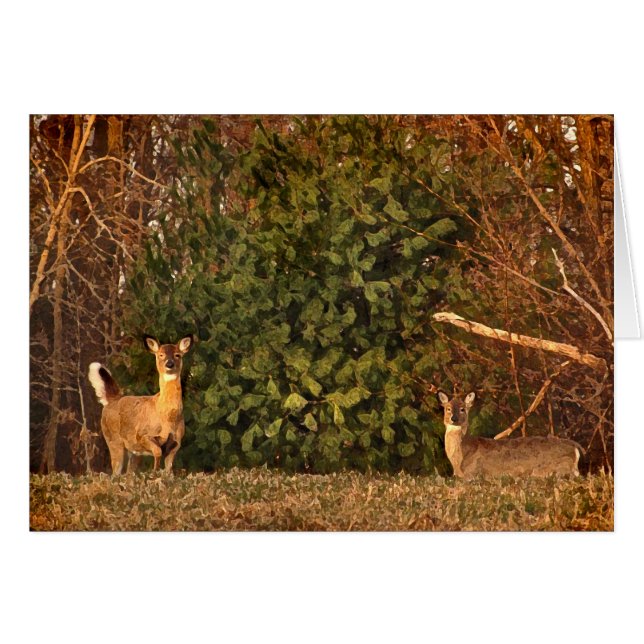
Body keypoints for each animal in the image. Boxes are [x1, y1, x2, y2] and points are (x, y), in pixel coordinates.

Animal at [88, 335, 193, 475]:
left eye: (178, 355)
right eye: (161, 354)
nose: (169, 364)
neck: (167, 418)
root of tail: (113, 399)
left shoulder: (176, 442)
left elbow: (168, 469)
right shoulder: (142, 435)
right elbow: (157, 452)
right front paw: (154, 472)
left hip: (133, 450)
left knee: (129, 472)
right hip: (113, 439)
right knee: (115, 472)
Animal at [437, 391, 584, 478]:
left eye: (462, 409)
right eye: (448, 408)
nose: (454, 418)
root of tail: (575, 447)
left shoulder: (473, 473)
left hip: (549, 469)